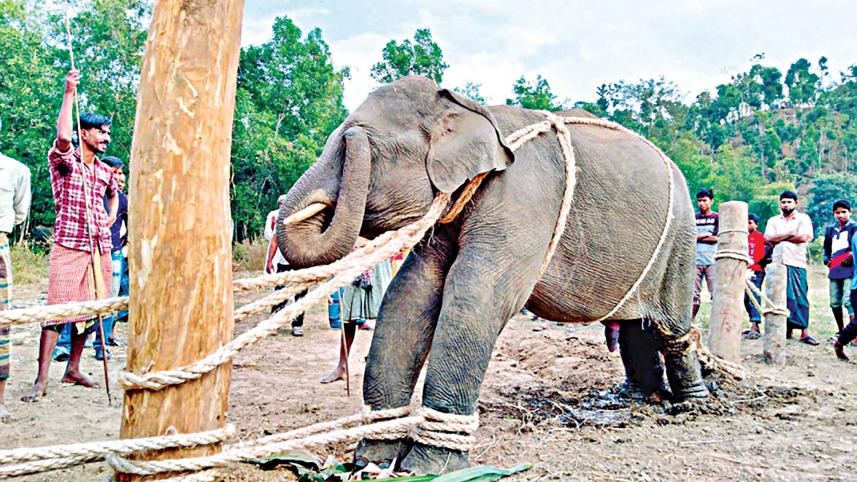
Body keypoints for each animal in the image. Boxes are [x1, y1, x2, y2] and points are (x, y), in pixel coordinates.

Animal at [276, 75, 709, 474]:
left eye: (365, 145)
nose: (352, 134)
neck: (470, 108)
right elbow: (410, 293)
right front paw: (371, 462)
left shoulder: (523, 197)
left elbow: (476, 295)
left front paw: (427, 470)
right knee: (635, 326)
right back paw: (635, 399)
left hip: (680, 240)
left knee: (671, 328)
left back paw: (693, 405)